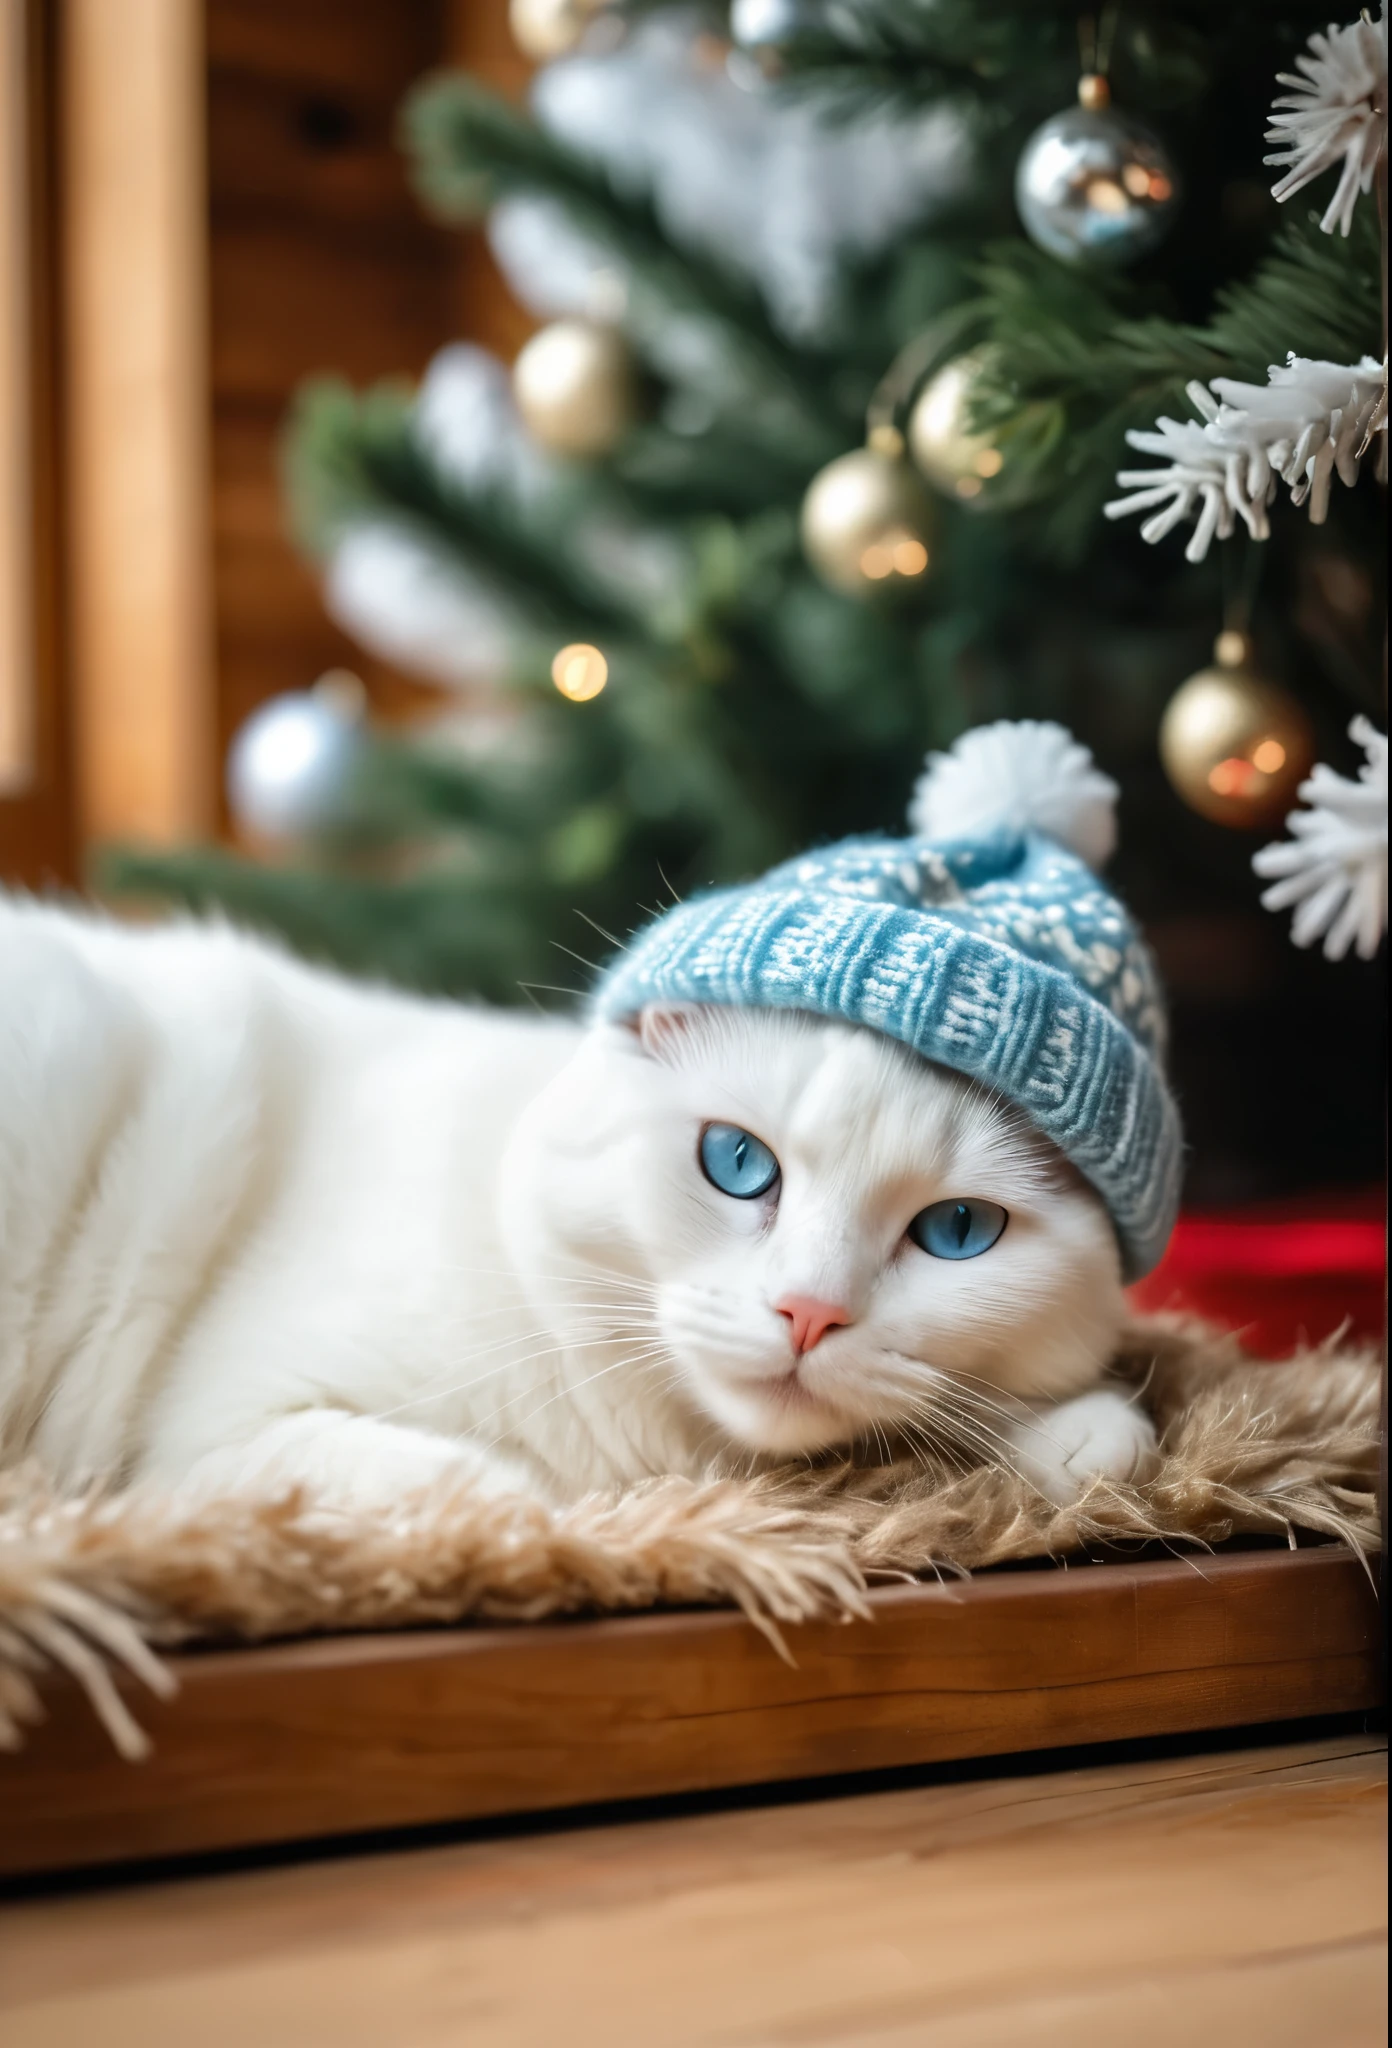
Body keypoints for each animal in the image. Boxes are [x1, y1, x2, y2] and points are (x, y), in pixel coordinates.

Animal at [0, 892, 1154, 1507]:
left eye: (956, 1230)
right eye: (739, 1163)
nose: (809, 1312)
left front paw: (1081, 1435)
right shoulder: (214, 1434)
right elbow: (502, 1491)